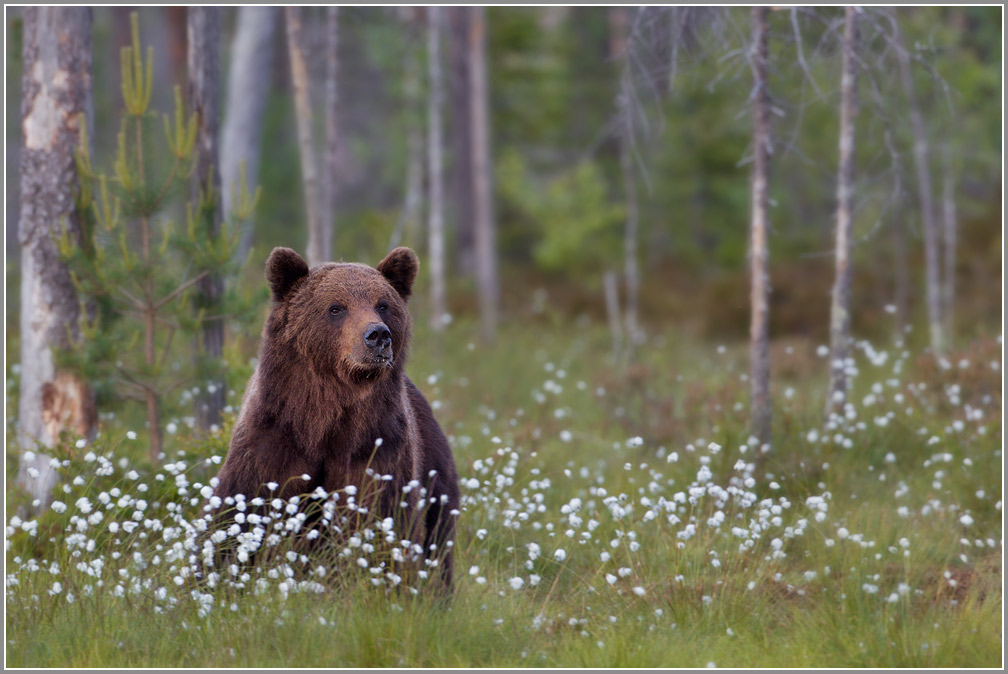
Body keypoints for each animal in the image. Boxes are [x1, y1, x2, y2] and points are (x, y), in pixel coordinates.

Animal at [208, 246, 461, 588]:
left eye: (383, 304)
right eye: (336, 308)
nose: (377, 335)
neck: (323, 420)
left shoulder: (374, 448)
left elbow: (374, 517)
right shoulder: (272, 439)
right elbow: (241, 507)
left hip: (434, 468)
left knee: (438, 538)